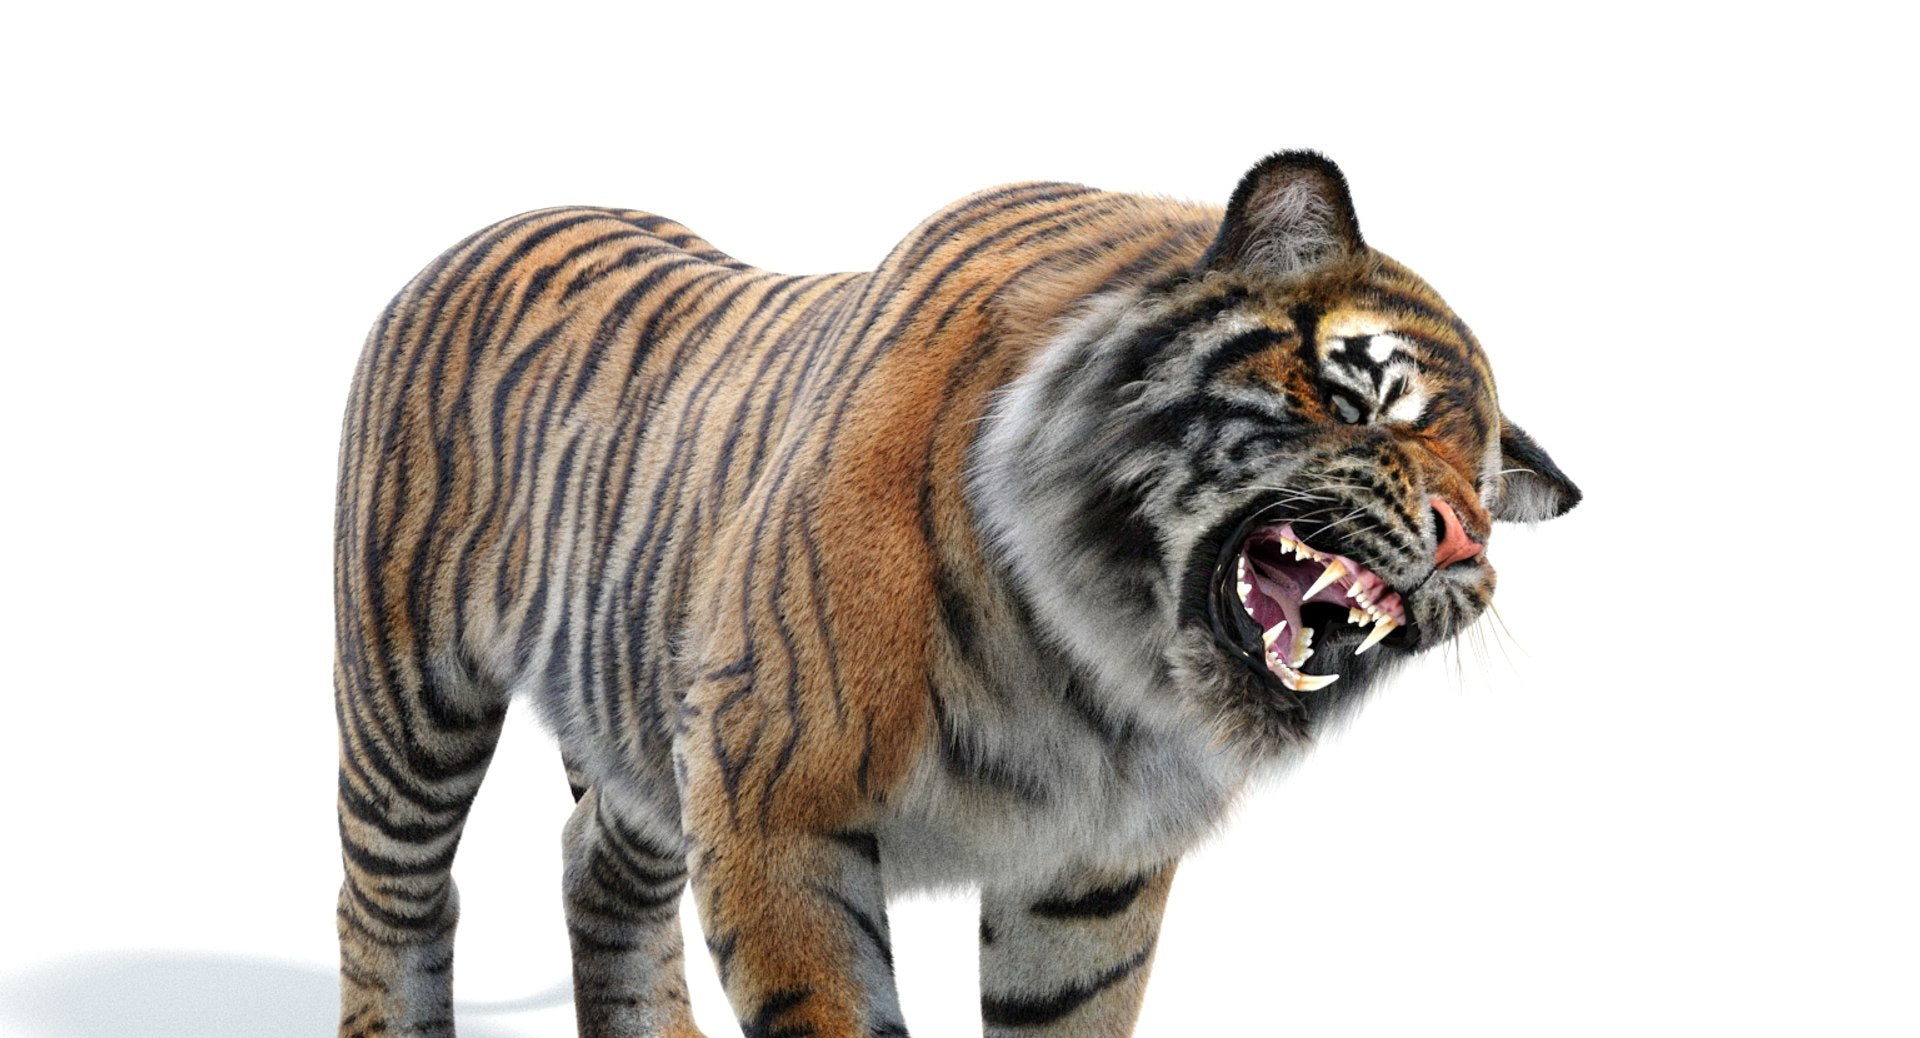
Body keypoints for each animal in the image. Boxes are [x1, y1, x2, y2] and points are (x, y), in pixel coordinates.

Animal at [333, 151, 1579, 1038]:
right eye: (1366, 400)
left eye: (1483, 485)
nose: (1466, 541)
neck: (1102, 664)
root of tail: (496, 224)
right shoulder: (771, 797)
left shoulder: (1091, 879)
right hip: (409, 700)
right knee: (392, 901)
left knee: (596, 865)